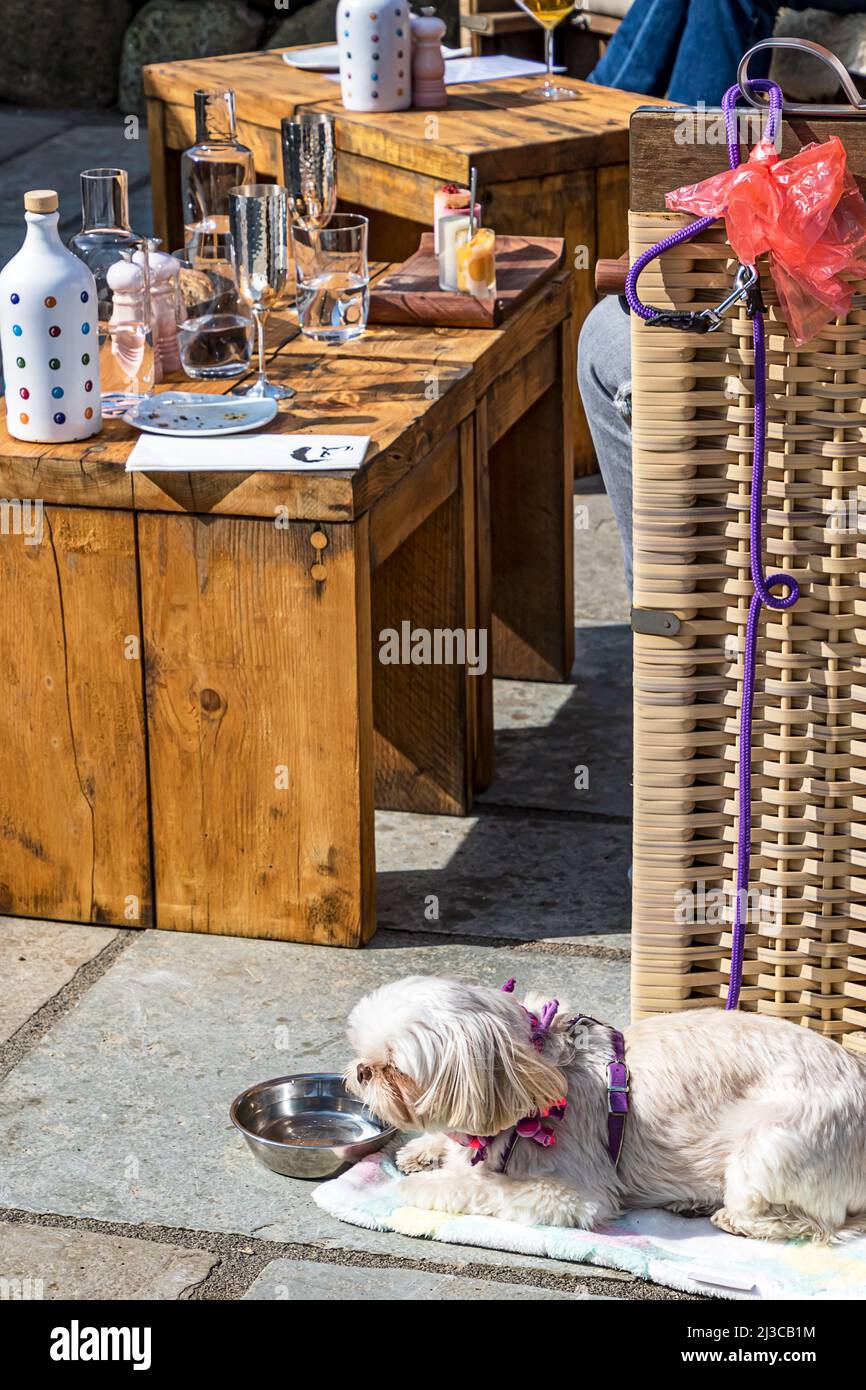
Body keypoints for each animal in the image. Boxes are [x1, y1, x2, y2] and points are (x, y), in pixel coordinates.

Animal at [343, 973, 866, 1245]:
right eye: (364, 1055)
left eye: (394, 1069)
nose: (362, 1070)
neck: (541, 1069)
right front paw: (426, 1150)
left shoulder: (570, 1195)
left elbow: (479, 1187)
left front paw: (421, 1185)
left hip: (769, 1146)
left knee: (811, 1223)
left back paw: (730, 1217)